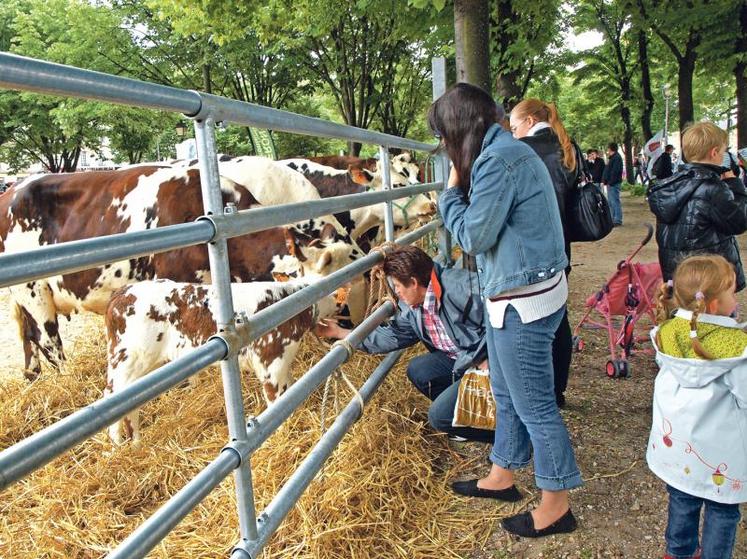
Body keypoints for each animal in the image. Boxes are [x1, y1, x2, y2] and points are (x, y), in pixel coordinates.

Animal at [0, 162, 362, 380]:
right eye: (338, 293)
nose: (351, 324)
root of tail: (12, 191)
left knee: (29, 337)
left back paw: (32, 376)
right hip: (35, 292)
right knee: (48, 341)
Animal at [105, 280, 344, 446]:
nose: (342, 307)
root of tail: (122, 291)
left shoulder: (283, 364)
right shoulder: (271, 365)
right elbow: (276, 401)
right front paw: (282, 432)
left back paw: (130, 445)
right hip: (129, 360)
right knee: (114, 397)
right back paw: (124, 444)